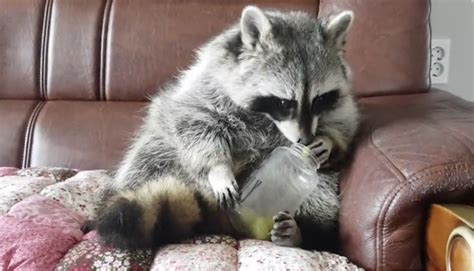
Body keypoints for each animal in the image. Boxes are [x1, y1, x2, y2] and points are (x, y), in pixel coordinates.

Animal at [89, 5, 358, 253]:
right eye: (284, 103)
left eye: (319, 100)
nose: (305, 139)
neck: (266, 119)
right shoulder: (206, 87)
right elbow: (195, 121)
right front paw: (218, 168)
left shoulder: (337, 105)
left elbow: (346, 121)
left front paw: (328, 140)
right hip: (161, 148)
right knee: (148, 159)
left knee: (321, 188)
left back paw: (303, 233)